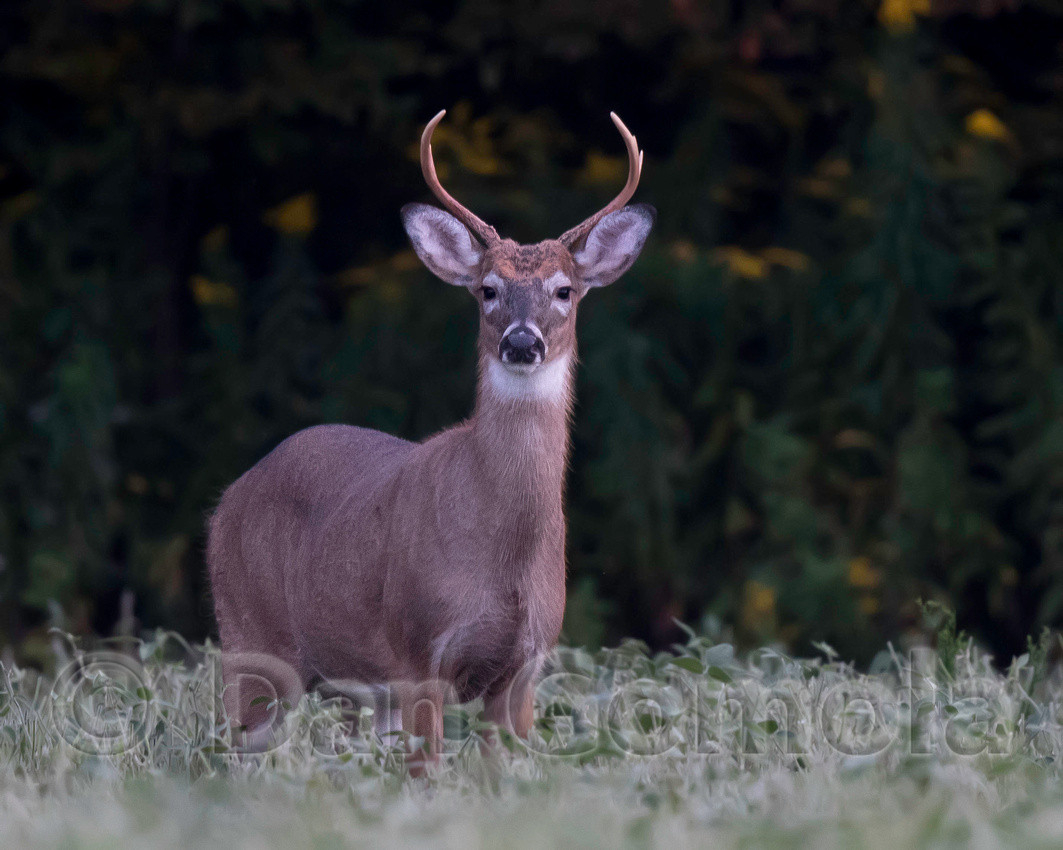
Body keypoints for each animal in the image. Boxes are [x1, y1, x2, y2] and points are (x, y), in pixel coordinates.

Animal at [205, 109, 654, 765]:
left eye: (564, 290)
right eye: (488, 289)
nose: (523, 342)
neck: (502, 554)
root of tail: (227, 499)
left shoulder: (526, 668)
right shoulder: (419, 650)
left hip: (358, 688)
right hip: (249, 640)